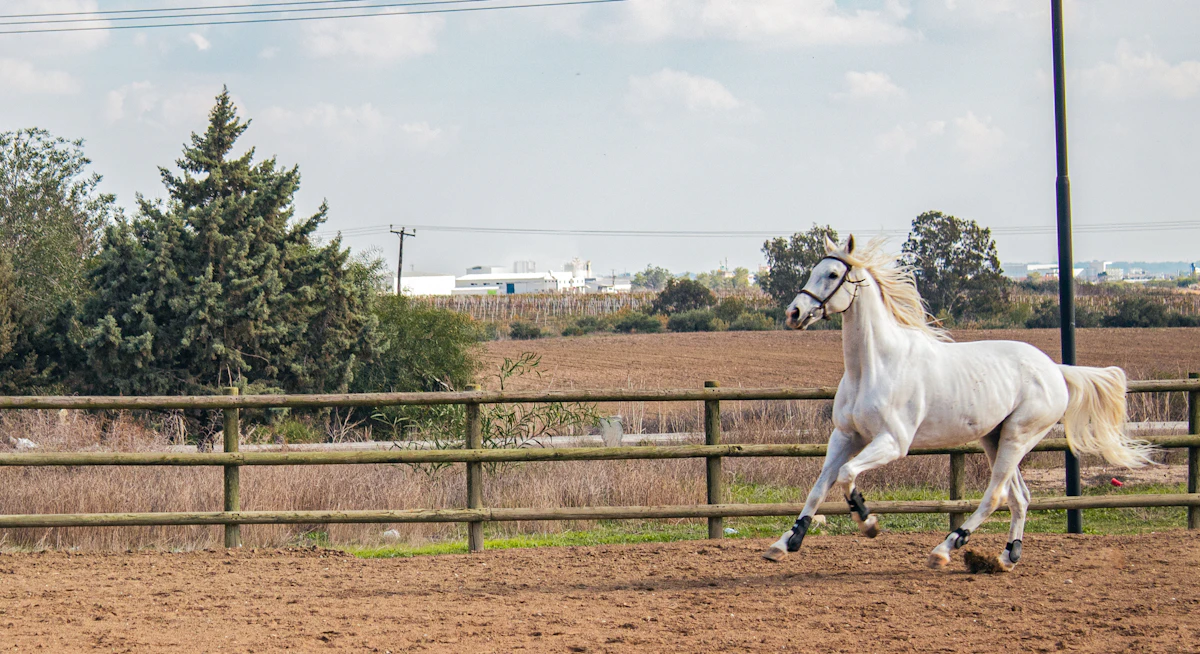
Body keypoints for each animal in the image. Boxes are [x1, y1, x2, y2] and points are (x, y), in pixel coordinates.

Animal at [761, 235, 1155, 570]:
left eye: (832, 274)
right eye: (812, 270)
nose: (794, 313)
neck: (874, 365)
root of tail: (1055, 370)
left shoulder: (893, 442)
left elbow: (846, 475)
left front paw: (868, 521)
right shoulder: (845, 436)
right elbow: (820, 485)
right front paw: (785, 543)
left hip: (1019, 436)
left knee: (996, 495)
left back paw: (945, 549)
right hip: (995, 438)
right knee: (1020, 497)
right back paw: (1007, 556)